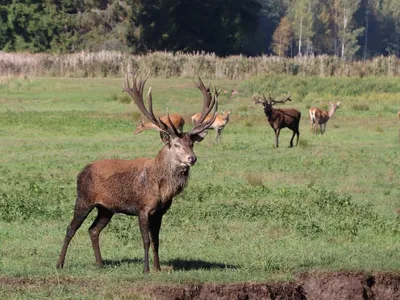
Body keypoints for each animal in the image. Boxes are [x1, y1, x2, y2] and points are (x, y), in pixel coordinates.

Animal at [55, 74, 219, 274]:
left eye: (192, 143)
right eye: (176, 145)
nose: (192, 158)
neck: (161, 188)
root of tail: (81, 172)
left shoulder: (160, 212)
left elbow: (157, 241)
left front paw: (158, 268)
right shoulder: (143, 208)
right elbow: (146, 240)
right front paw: (146, 269)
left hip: (106, 209)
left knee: (93, 230)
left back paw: (100, 263)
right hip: (84, 199)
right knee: (71, 228)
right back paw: (59, 263)